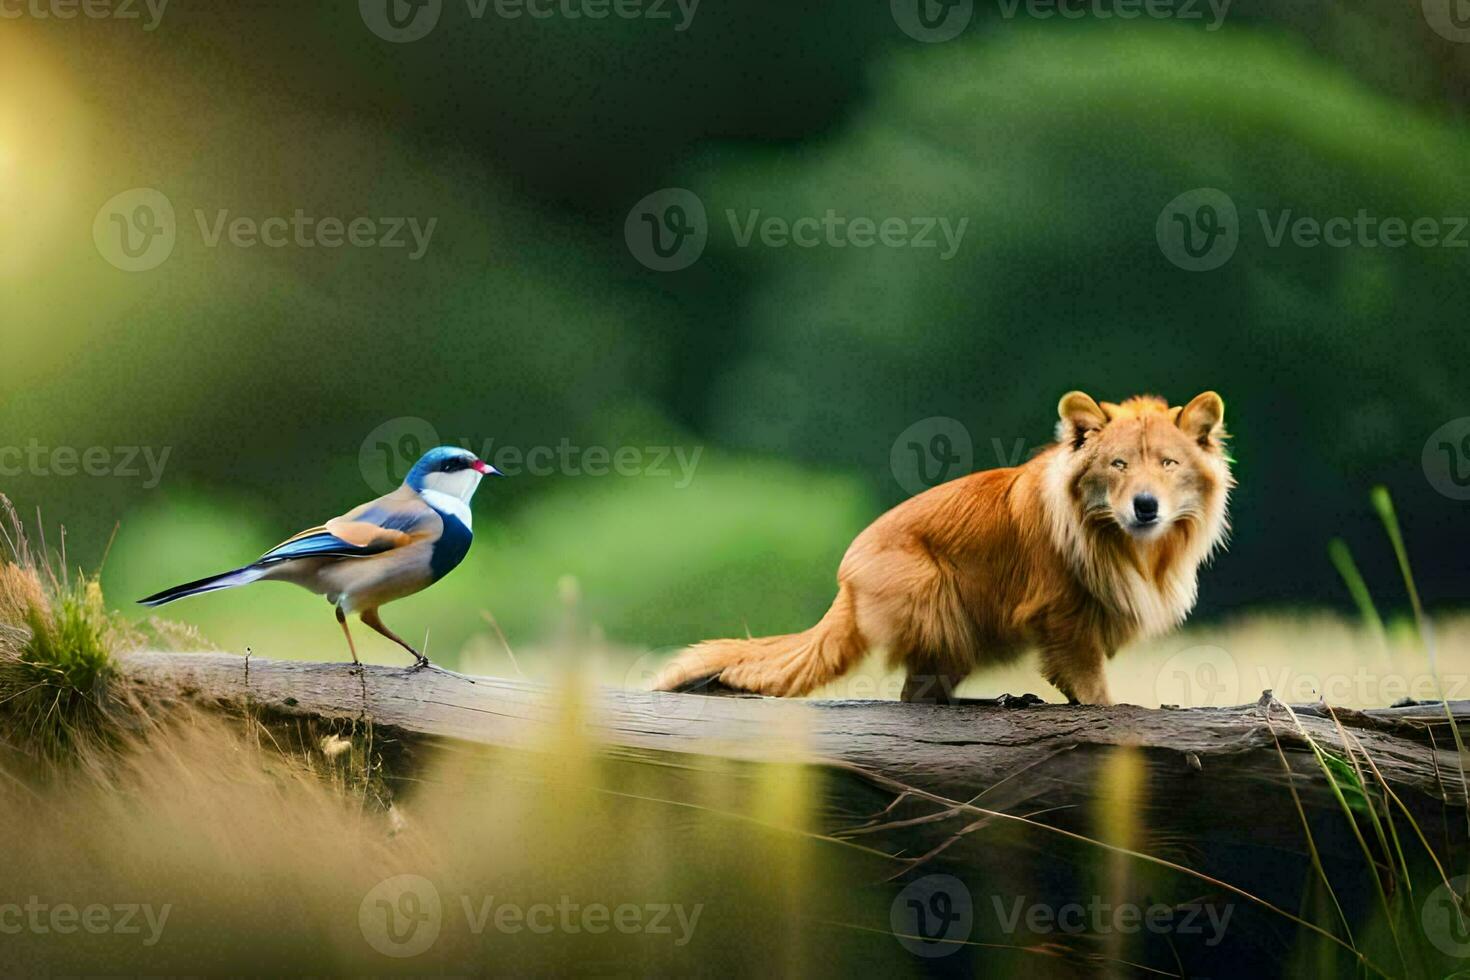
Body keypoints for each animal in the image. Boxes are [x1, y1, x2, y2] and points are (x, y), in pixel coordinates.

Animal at [655, 387, 1228, 705]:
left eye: (1168, 464)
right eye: (1118, 464)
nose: (1146, 506)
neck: (1129, 546)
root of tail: (846, 580)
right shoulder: (1063, 621)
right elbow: (1093, 692)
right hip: (941, 601)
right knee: (917, 695)